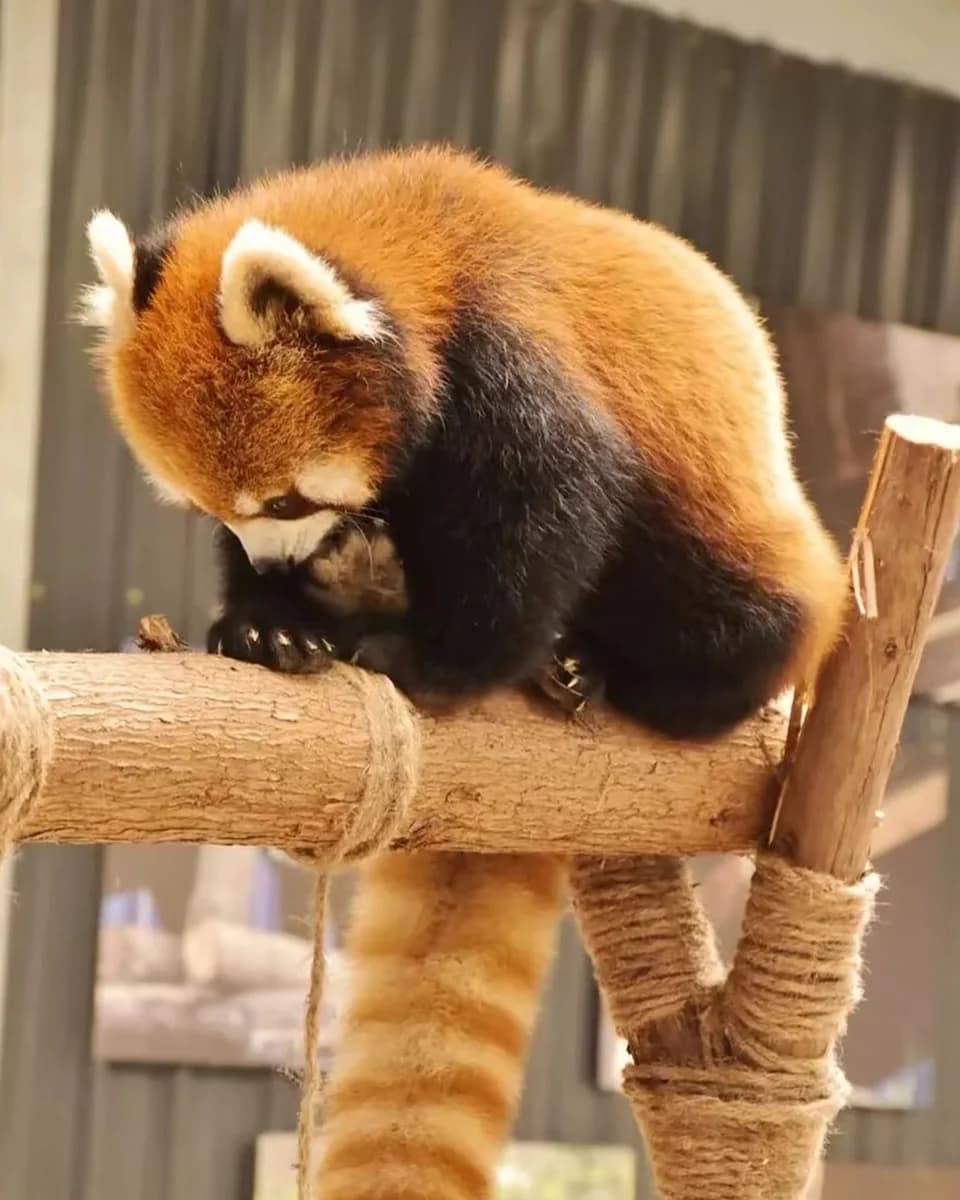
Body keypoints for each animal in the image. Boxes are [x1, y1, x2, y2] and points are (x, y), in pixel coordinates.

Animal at [80, 145, 846, 1200]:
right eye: (215, 512)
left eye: (286, 499)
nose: (287, 567)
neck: (429, 244)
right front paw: (273, 625)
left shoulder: (517, 368)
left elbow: (548, 516)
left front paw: (430, 661)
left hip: (746, 541)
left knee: (745, 616)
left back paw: (591, 671)